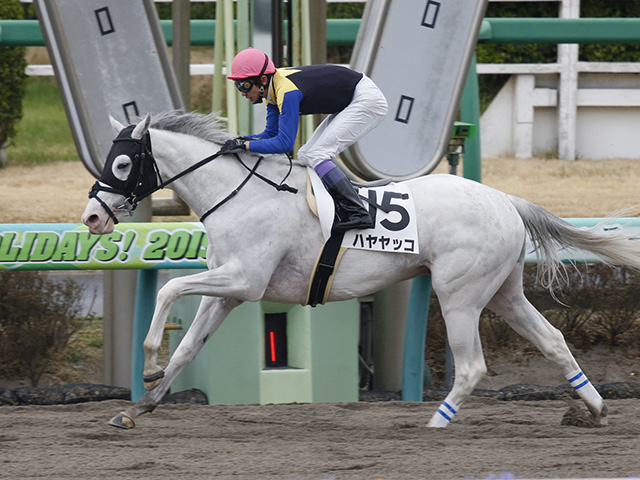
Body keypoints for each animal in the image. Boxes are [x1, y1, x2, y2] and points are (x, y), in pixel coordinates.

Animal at [84, 110, 640, 430]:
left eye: (121, 164)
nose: (91, 217)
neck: (240, 193)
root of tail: (507, 200)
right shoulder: (231, 291)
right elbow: (188, 347)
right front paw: (140, 405)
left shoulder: (246, 279)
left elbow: (169, 289)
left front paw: (148, 361)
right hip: (503, 292)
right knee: (553, 340)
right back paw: (593, 409)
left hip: (458, 292)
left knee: (473, 365)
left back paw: (437, 422)